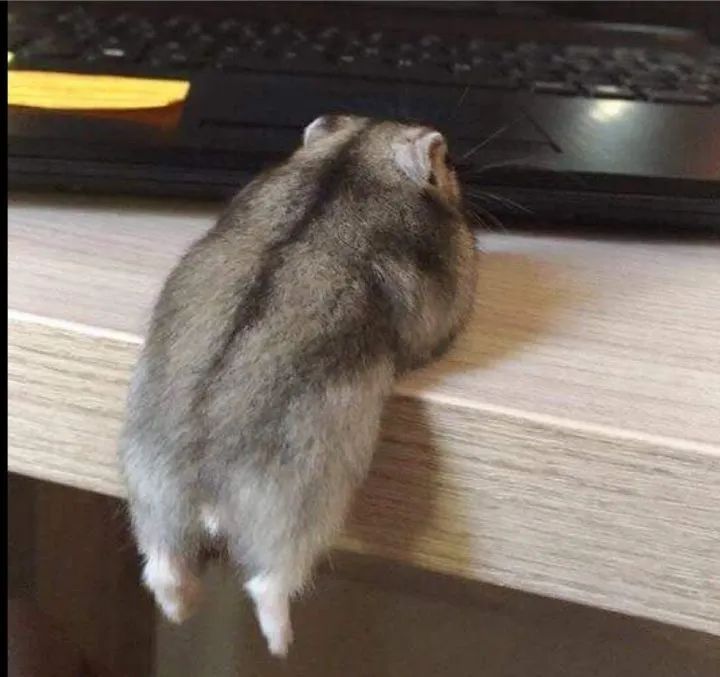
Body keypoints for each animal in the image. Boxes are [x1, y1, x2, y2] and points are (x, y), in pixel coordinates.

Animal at [119, 114, 478, 657]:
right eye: (449, 162)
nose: (457, 170)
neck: (352, 156)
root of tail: (198, 474)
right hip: (299, 506)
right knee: (269, 583)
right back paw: (282, 645)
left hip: (151, 492)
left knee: (162, 567)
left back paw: (182, 612)